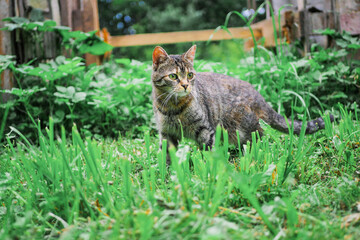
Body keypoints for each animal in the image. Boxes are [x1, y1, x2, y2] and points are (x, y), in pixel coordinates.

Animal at [150, 45, 334, 152]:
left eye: (190, 75)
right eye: (173, 76)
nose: (186, 85)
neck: (173, 107)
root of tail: (259, 96)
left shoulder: (205, 130)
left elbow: (208, 156)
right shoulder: (166, 134)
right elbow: (166, 158)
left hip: (242, 126)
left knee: (261, 138)